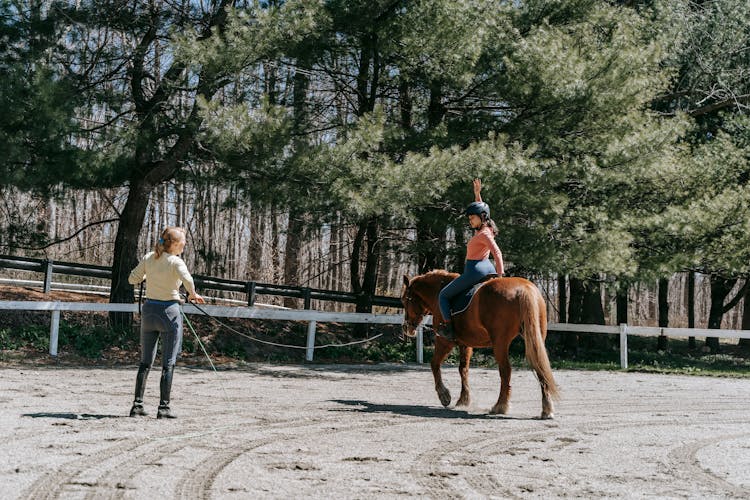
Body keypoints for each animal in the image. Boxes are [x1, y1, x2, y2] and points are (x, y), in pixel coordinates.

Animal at [406, 270, 560, 418]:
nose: (407, 329)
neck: (439, 291)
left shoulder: (444, 341)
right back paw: (546, 409)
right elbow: (463, 369)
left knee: (506, 371)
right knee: (540, 367)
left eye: (405, 300)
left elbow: (434, 364)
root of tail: (524, 288)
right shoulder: (465, 344)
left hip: (500, 342)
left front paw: (444, 396)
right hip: (535, 338)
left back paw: (500, 406)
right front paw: (463, 399)